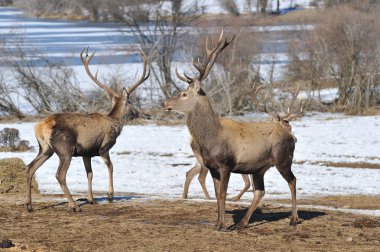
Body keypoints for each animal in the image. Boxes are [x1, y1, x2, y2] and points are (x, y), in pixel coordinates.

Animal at [24, 47, 150, 213]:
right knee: (59, 175)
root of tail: (41, 127)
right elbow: (111, 167)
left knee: (30, 168)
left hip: (45, 148)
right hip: (65, 148)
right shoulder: (104, 147)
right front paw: (110, 195)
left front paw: (91, 199)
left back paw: (29, 205)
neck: (115, 123)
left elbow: (89, 173)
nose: (137, 114)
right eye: (130, 102)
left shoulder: (86, 152)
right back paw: (74, 205)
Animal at [163, 31, 302, 230]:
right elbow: (217, 194)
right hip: (259, 168)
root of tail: (291, 136)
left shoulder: (226, 164)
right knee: (260, 191)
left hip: (283, 159)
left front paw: (222, 225)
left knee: (292, 180)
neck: (211, 137)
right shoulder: (212, 166)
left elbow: (222, 193)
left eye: (184, 94)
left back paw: (293, 218)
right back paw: (242, 223)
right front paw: (218, 223)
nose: (164, 103)